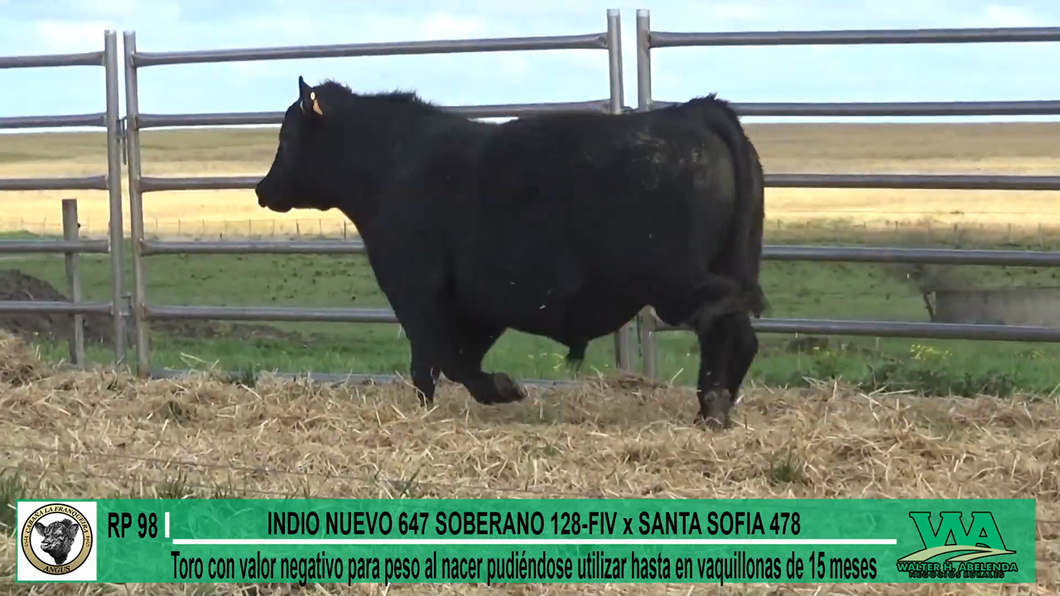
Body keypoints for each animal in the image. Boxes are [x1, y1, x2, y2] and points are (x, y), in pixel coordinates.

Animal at [256, 76, 771, 424]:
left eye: (287, 136)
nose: (263, 189)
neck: (394, 164)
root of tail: (694, 112)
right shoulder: (479, 302)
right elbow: (447, 359)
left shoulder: (416, 289)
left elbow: (440, 357)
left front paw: (501, 390)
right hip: (723, 261)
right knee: (739, 331)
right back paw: (714, 408)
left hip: (671, 275)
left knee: (725, 317)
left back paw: (713, 407)